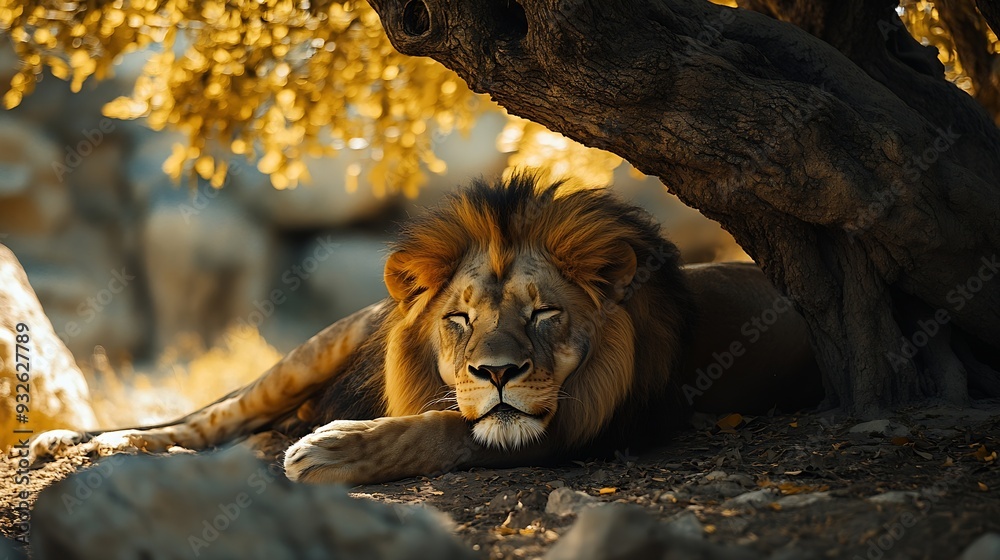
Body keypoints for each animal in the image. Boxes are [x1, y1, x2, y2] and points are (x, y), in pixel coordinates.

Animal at [31, 175, 821, 484]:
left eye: (545, 312)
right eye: (460, 318)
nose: (497, 373)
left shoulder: (585, 425)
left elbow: (444, 429)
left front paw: (334, 450)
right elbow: (449, 421)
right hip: (317, 349)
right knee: (210, 418)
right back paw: (86, 443)